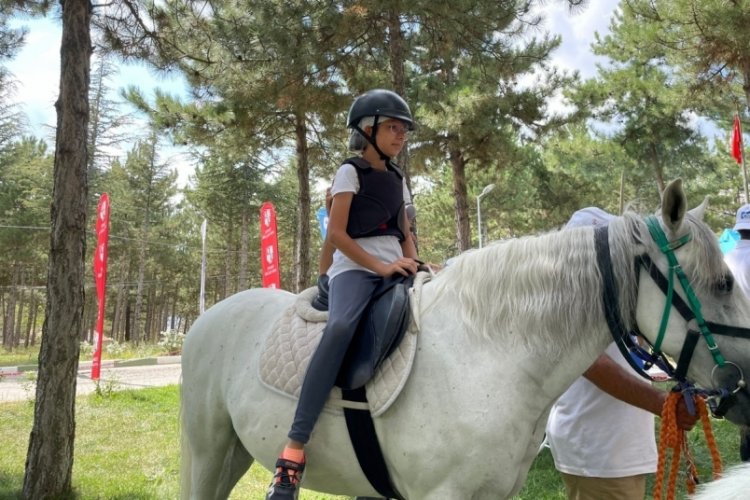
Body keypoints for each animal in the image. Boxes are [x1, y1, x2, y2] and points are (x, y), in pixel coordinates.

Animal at [180, 179, 750, 499]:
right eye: (724, 283)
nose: (744, 388)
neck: (489, 356)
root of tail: (207, 318)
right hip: (206, 453)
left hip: (232, 453)